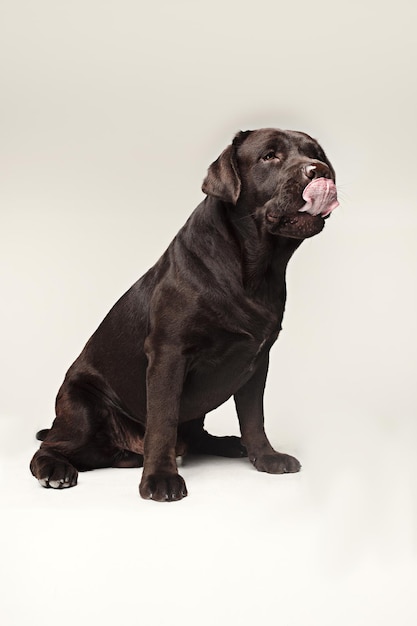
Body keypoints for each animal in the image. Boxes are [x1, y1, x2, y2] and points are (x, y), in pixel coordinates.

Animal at [31, 128, 338, 502]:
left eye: (316, 153)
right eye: (269, 156)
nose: (319, 170)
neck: (256, 271)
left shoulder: (257, 360)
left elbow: (254, 416)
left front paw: (265, 457)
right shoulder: (168, 354)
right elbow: (162, 420)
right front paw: (160, 478)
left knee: (195, 433)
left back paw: (229, 444)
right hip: (82, 406)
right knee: (51, 446)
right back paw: (55, 470)